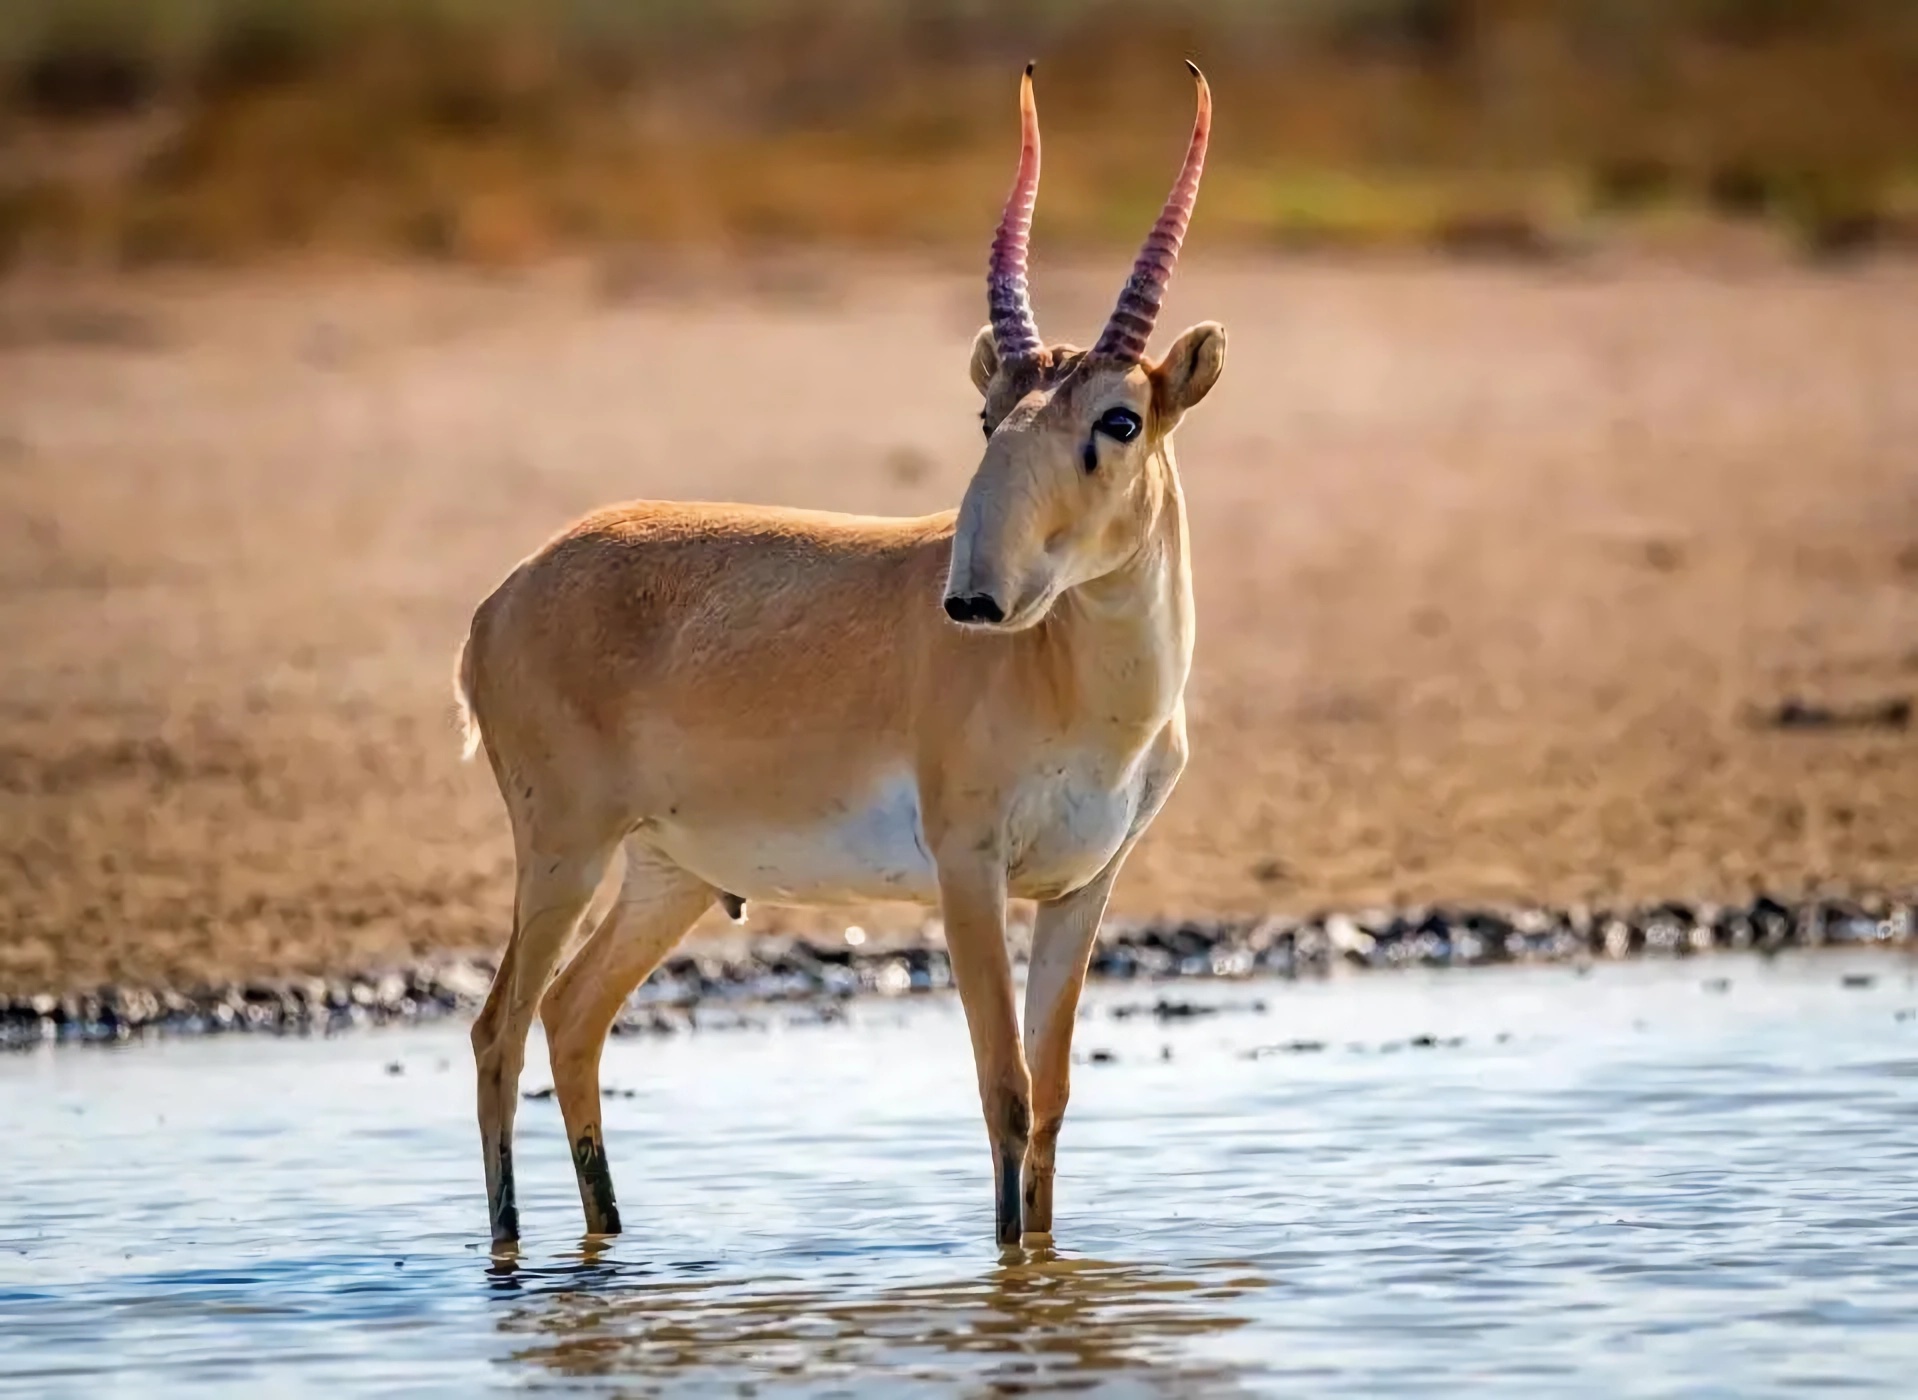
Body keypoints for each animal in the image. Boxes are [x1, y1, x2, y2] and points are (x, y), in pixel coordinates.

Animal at [456, 62, 1219, 1242]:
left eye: (1120, 418)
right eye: (989, 412)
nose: (973, 597)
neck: (1080, 689)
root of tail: (502, 598)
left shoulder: (1082, 886)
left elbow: (1049, 1096)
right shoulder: (968, 870)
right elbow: (1002, 1090)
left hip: (667, 874)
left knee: (573, 1016)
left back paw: (609, 1236)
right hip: (564, 852)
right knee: (498, 1027)